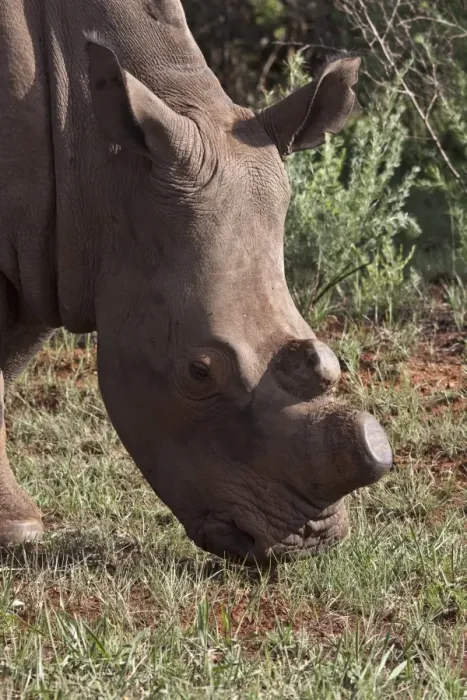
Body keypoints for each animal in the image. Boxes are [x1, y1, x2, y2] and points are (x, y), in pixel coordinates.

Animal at [0, 0, 392, 564]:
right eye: (199, 372)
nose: (305, 542)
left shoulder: (53, 247)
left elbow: (10, 360)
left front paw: (15, 528)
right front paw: (16, 530)